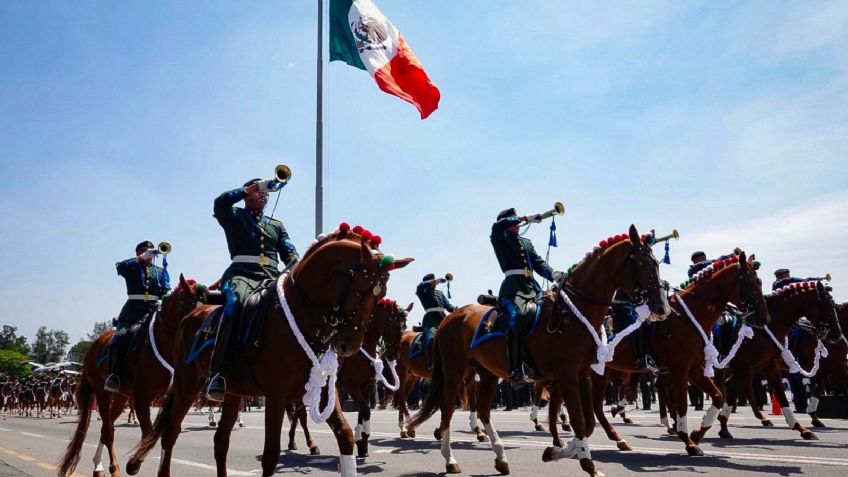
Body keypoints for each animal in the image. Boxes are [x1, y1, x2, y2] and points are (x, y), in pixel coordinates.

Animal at [57, 274, 207, 476]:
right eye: (188, 307)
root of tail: (93, 347)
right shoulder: (142, 397)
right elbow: (149, 433)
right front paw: (134, 463)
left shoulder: (174, 395)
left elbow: (167, 433)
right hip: (102, 391)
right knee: (108, 431)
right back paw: (112, 468)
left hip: (121, 396)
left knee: (106, 428)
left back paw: (99, 465)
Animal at [126, 226, 414, 476]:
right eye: (361, 290)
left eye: (380, 294)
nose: (348, 345)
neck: (303, 311)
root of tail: (191, 317)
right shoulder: (278, 395)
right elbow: (271, 455)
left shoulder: (326, 389)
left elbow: (346, 435)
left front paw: (361, 445)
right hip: (187, 386)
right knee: (171, 433)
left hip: (233, 392)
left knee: (221, 441)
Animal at [408, 225, 672, 474]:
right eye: (641, 262)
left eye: (657, 263)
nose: (662, 307)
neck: (574, 314)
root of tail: (450, 318)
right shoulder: (566, 376)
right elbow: (578, 420)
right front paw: (588, 464)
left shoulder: (583, 375)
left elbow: (586, 422)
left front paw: (560, 450)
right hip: (454, 372)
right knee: (447, 409)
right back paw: (450, 459)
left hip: (487, 373)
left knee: (483, 410)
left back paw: (500, 457)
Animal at [716, 278, 840, 438]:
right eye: (827, 305)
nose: (837, 334)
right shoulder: (743, 367)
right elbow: (732, 390)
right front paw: (723, 427)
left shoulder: (769, 366)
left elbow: (782, 395)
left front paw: (802, 428)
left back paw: (763, 418)